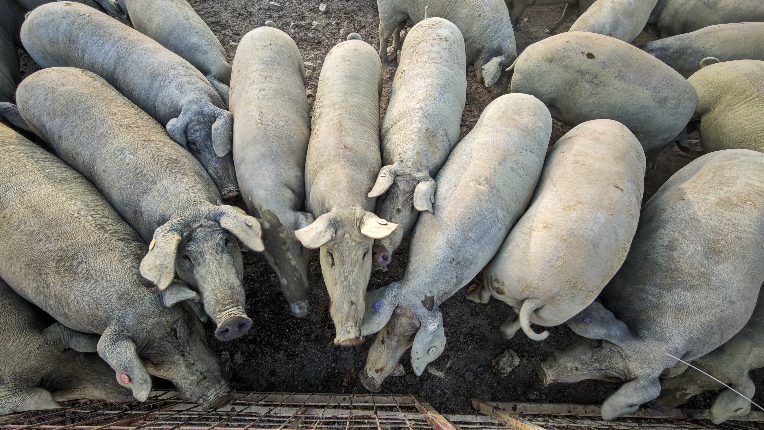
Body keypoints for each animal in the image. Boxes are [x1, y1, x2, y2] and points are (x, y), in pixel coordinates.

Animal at [376, 0, 516, 92]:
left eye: (510, 75)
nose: (500, 94)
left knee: (396, 30)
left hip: (403, 15)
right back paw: (385, 60)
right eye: (500, 74)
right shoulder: (467, 47)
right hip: (388, 13)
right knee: (382, 33)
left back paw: (397, 48)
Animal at [475, 120, 644, 341]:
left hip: (501, 273)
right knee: (518, 321)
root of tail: (537, 297)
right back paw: (505, 334)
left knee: (489, 290)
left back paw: (474, 299)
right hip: (552, 312)